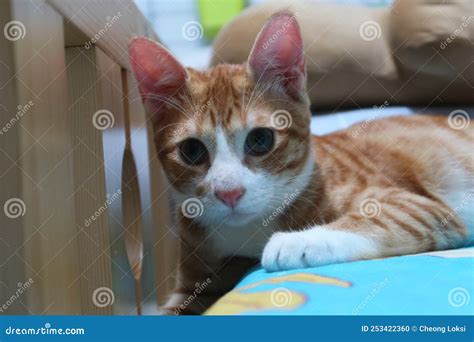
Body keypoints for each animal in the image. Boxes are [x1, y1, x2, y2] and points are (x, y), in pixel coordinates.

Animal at [128, 11, 472, 316]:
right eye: (192, 151)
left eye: (260, 139)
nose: (229, 193)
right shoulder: (192, 285)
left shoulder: (420, 206)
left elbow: (386, 216)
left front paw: (299, 241)